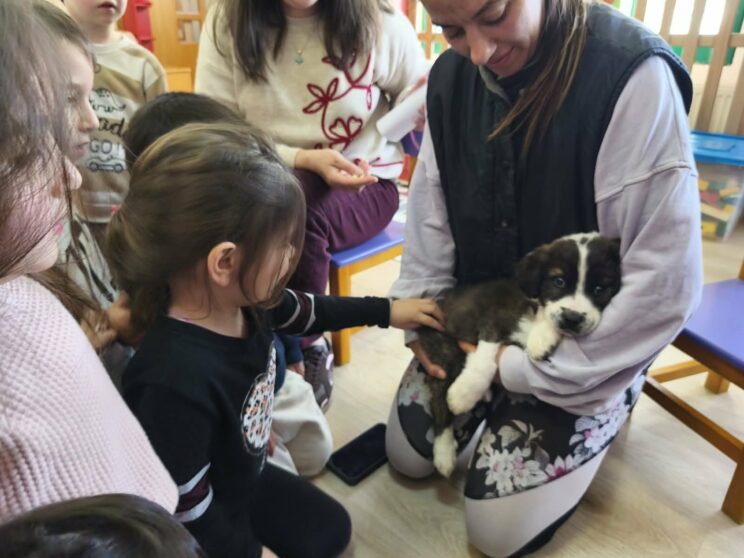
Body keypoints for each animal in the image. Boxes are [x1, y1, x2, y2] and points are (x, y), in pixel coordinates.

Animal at [417, 232, 622, 477]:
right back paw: (444, 453)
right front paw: (463, 394)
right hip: (446, 351)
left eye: (600, 289)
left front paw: (541, 339)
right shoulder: (494, 321)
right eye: (559, 281)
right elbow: (484, 362)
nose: (572, 318)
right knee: (438, 399)